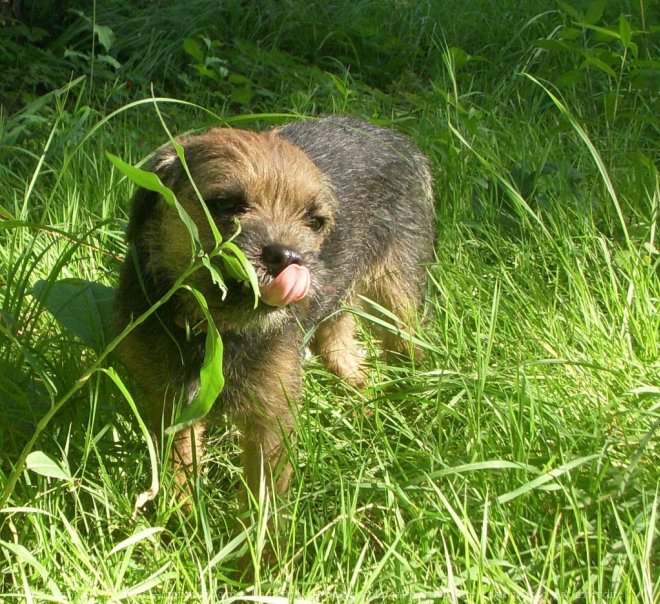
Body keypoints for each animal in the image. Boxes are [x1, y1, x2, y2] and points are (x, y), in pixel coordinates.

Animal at [114, 114, 434, 510]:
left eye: (315, 221)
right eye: (225, 203)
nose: (288, 257)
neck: (212, 330)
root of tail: (397, 139)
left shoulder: (271, 418)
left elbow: (262, 496)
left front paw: (254, 530)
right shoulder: (169, 403)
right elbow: (179, 465)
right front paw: (179, 515)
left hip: (397, 303)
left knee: (407, 350)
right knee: (348, 363)